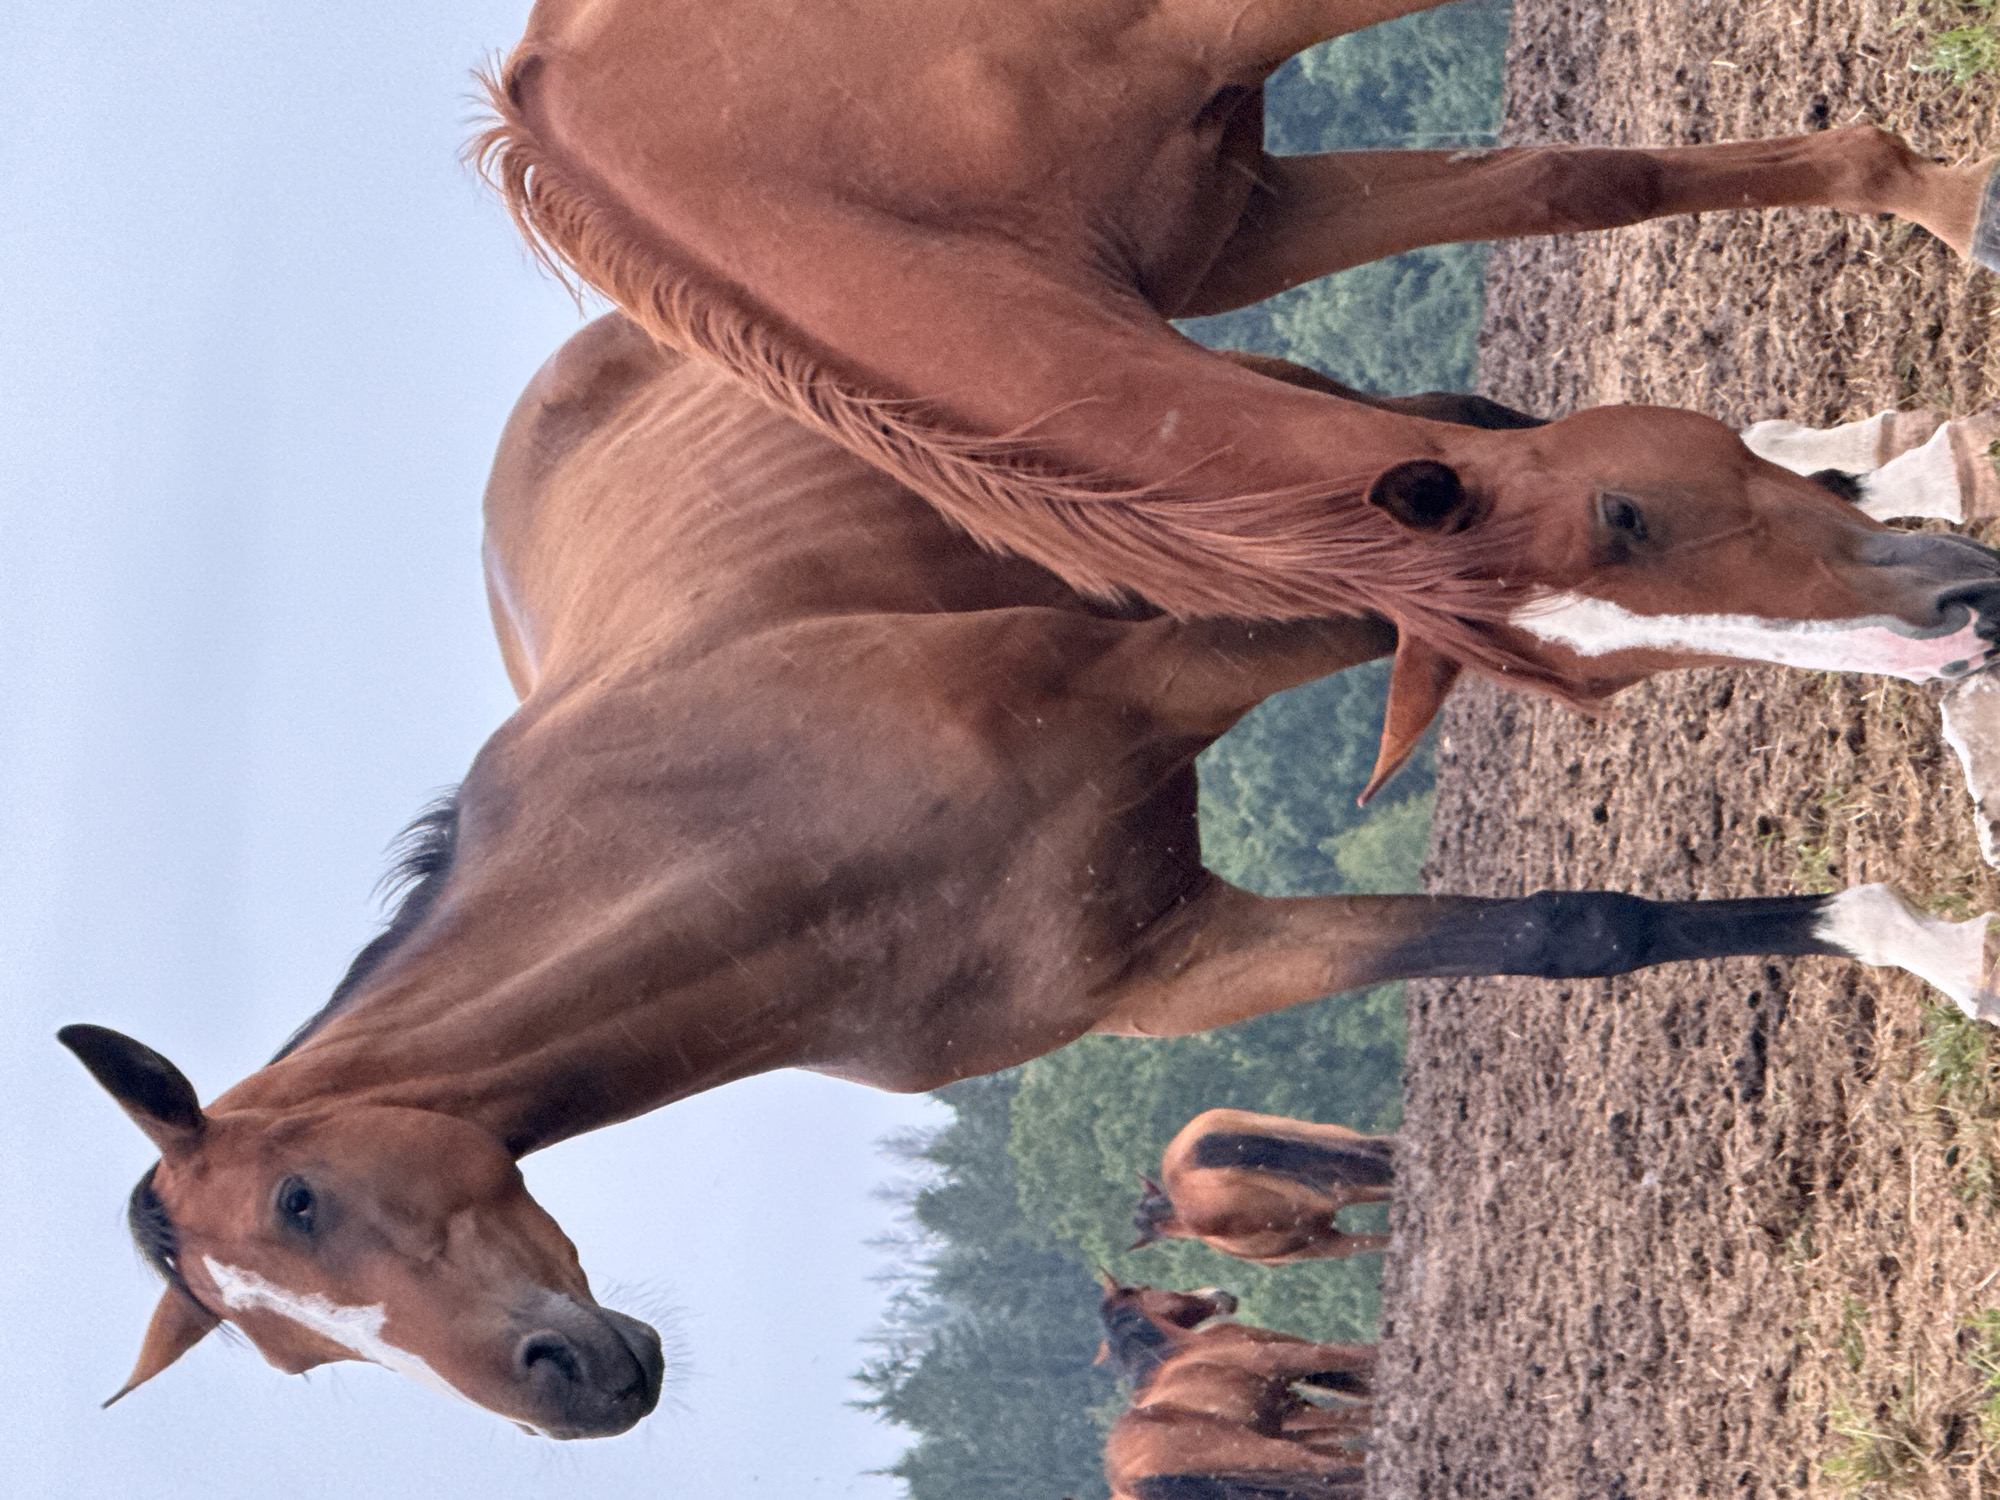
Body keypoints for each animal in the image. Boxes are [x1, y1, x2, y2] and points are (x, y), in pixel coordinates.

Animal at [1097, 1279, 1373, 1500]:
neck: (1175, 1352)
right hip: (1272, 1454)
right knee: (1335, 1466)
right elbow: (1355, 1358)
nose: (1218, 1294)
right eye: (1148, 1289)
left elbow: (1353, 1408)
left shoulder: (1289, 1411)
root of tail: (1125, 1480)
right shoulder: (1290, 1357)